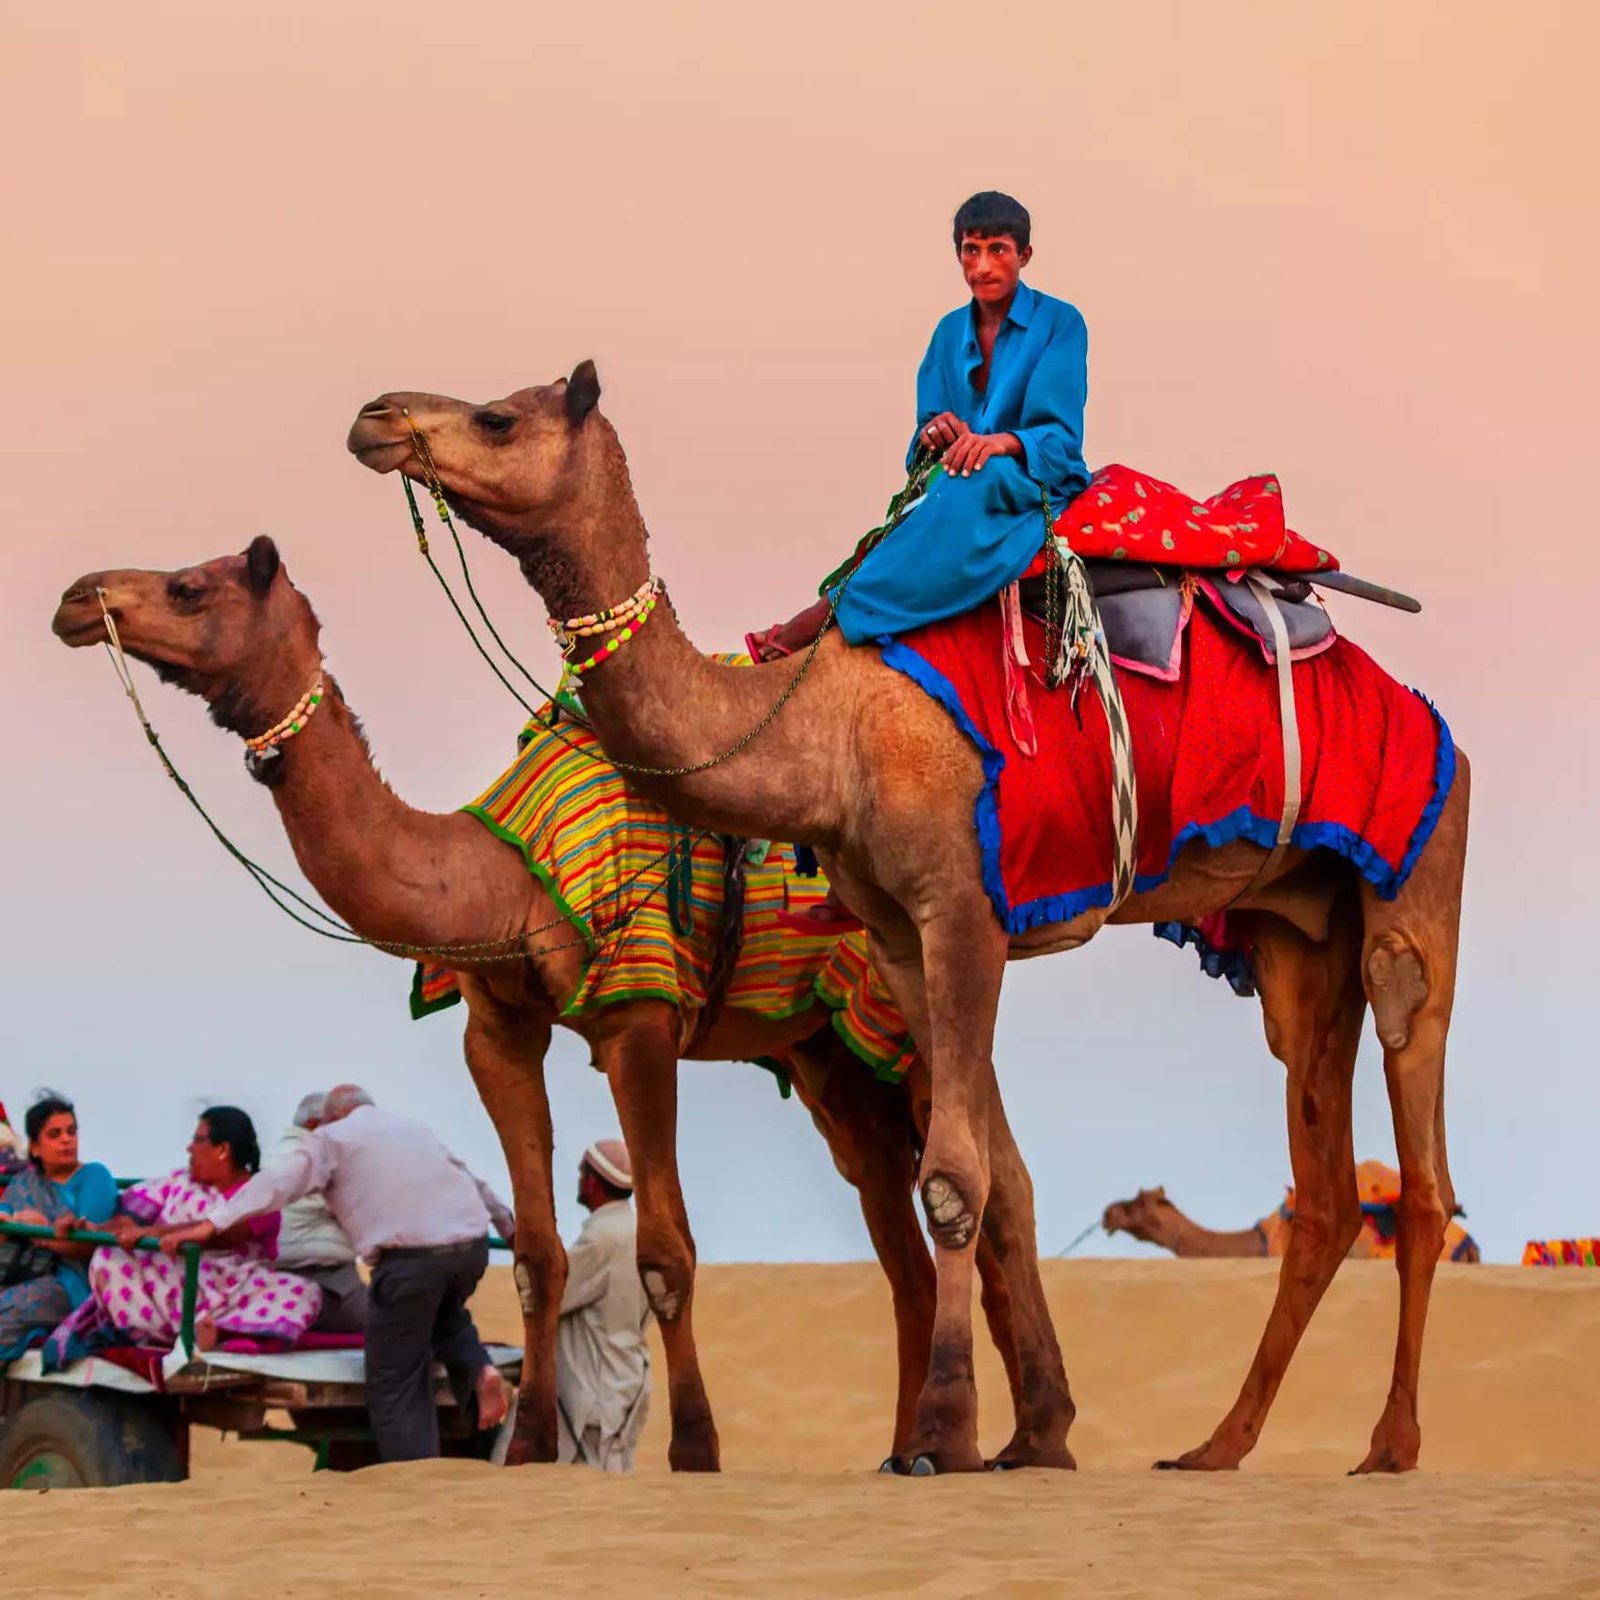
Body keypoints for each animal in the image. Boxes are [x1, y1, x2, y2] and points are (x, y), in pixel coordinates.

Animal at [50, 539, 1029, 1474]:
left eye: (187, 588)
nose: (77, 598)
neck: (498, 880)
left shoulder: (639, 1014)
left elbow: (664, 1250)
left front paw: (694, 1450)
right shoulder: (497, 1027)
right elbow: (533, 1256)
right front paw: (525, 1449)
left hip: (905, 1000)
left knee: (984, 1182)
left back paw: (992, 1445)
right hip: (829, 1052)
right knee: (905, 1238)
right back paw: (928, 1446)